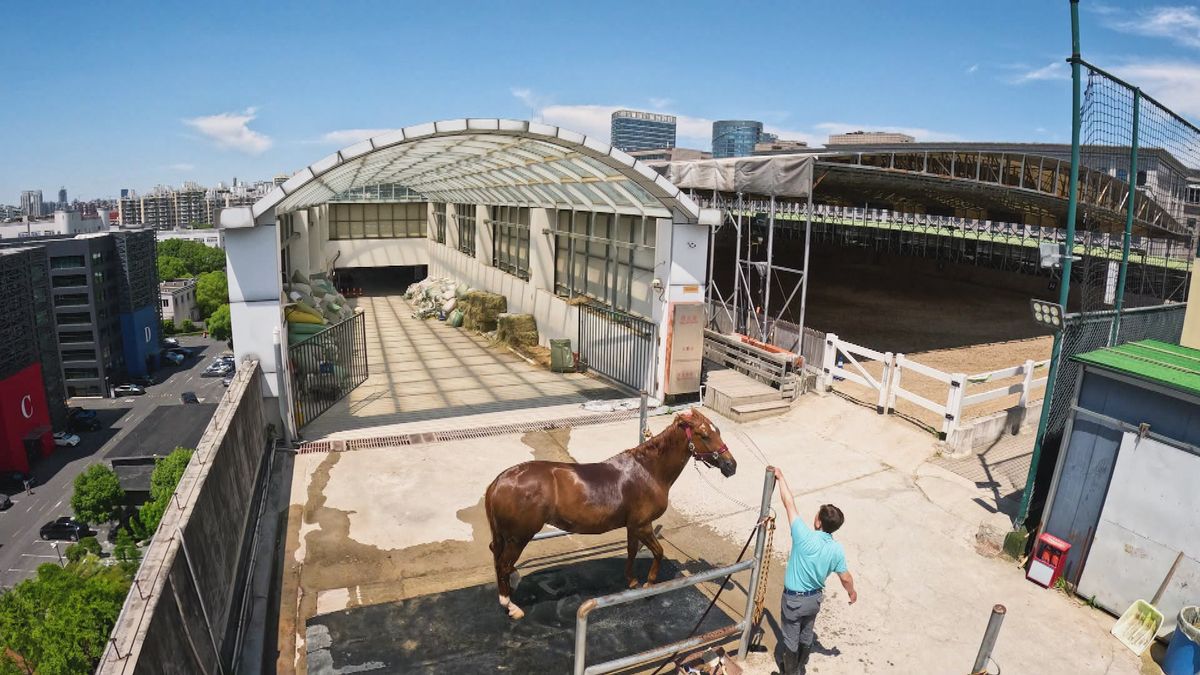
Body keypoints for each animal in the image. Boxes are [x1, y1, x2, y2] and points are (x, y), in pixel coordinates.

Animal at [482, 408, 734, 619]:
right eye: (704, 435)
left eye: (718, 431)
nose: (731, 466)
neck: (649, 471)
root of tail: (499, 482)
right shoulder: (643, 525)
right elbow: (659, 552)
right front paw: (649, 585)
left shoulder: (633, 526)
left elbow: (632, 552)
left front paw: (632, 581)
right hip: (519, 537)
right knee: (503, 564)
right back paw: (510, 605)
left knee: (497, 556)